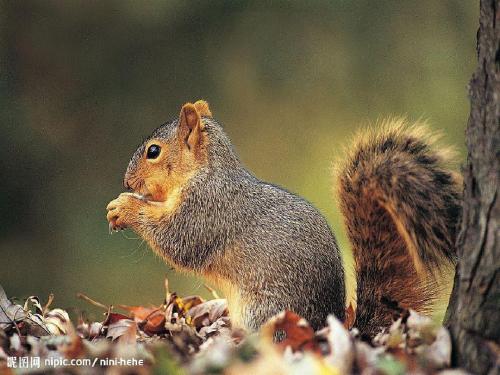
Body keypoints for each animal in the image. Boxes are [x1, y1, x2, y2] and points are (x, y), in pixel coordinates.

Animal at [105, 100, 460, 338]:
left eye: (153, 151)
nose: (126, 181)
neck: (206, 172)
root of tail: (324, 326)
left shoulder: (206, 210)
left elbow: (176, 241)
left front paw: (125, 207)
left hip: (264, 311)